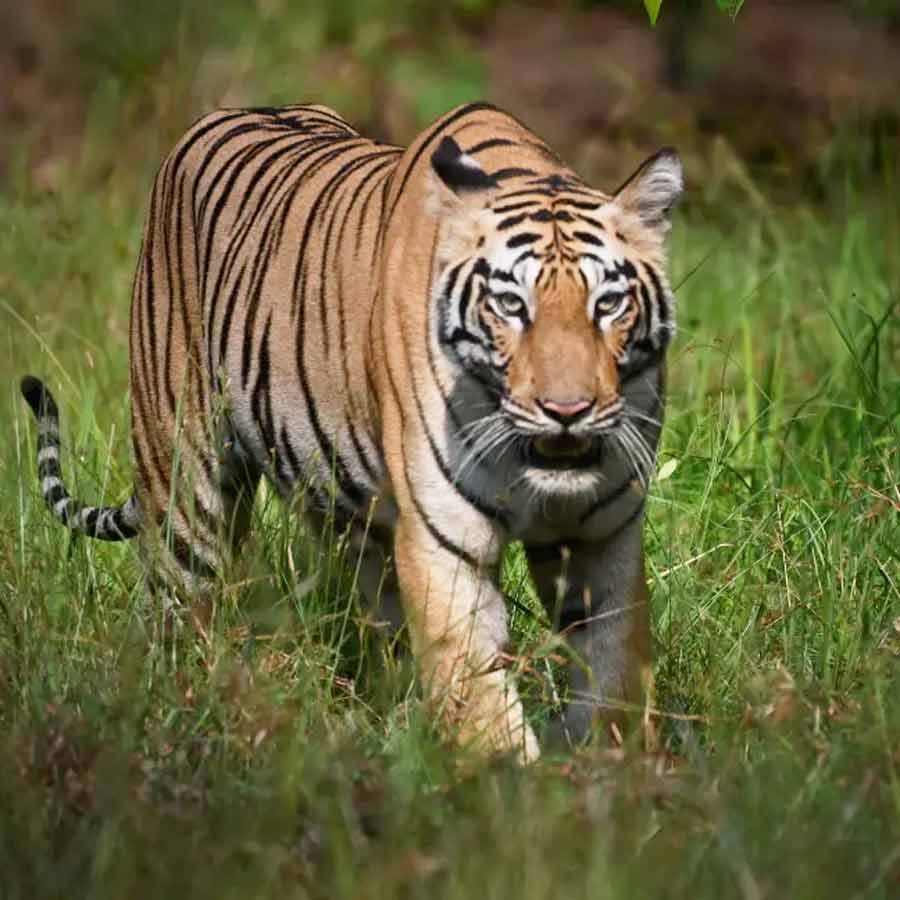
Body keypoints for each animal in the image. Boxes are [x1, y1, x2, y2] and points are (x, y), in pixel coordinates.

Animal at [21, 101, 682, 762]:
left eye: (608, 304)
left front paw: (610, 768)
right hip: (185, 490)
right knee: (176, 613)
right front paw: (503, 777)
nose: (567, 409)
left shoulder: (604, 535)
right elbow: (477, 695)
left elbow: (613, 674)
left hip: (342, 510)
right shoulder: (447, 542)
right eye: (511, 305)